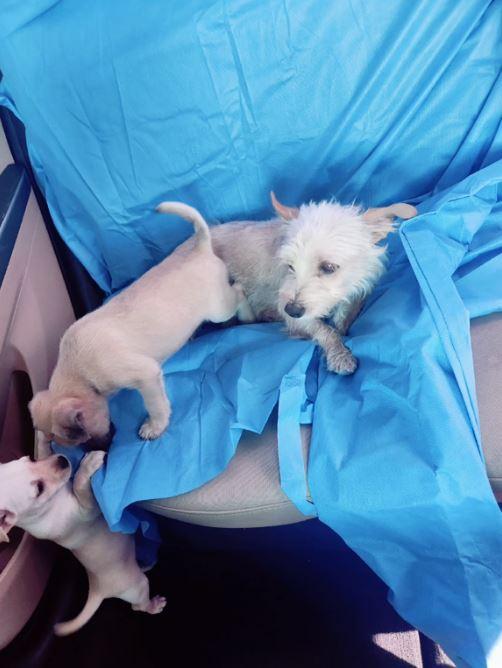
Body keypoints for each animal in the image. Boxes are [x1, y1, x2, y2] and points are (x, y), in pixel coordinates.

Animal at [0, 446, 167, 636]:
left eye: (29, 460)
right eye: (39, 489)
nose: (62, 460)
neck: (48, 505)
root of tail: (97, 591)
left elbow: (45, 452)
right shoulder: (87, 510)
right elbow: (79, 485)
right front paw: (89, 463)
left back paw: (144, 564)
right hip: (139, 586)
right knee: (138, 606)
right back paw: (154, 605)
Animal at [28, 201, 249, 446]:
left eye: (82, 439)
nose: (102, 449)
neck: (81, 374)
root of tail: (200, 248)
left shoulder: (147, 376)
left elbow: (155, 405)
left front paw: (155, 426)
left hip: (219, 308)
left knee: (240, 291)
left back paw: (247, 316)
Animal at [212, 192, 416, 376]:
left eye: (328, 267)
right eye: (290, 266)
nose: (292, 310)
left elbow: (347, 309)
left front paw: (343, 321)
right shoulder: (296, 316)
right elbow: (325, 330)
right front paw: (340, 355)